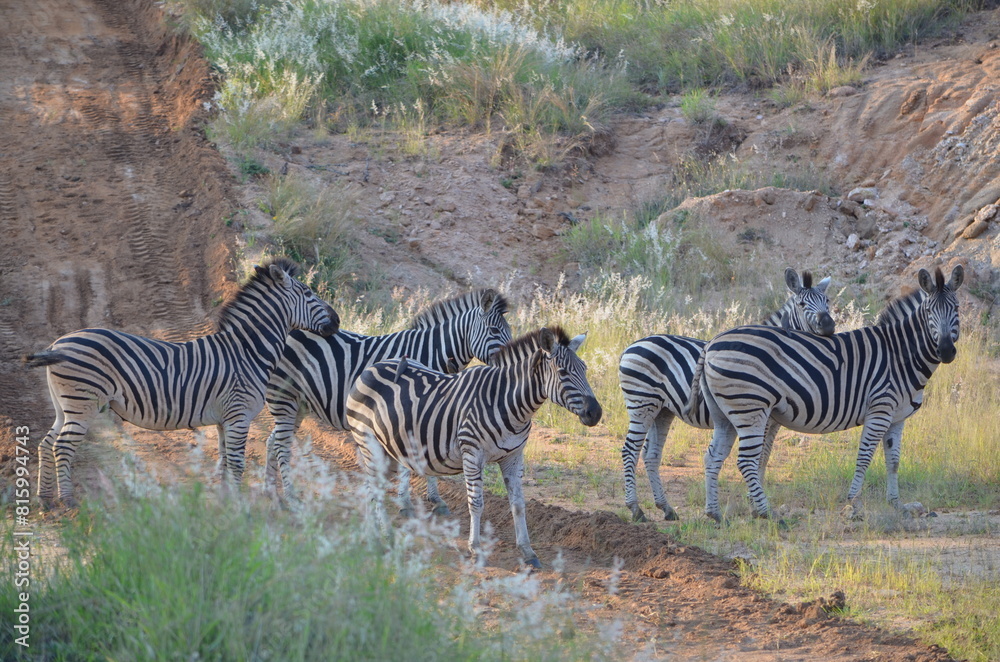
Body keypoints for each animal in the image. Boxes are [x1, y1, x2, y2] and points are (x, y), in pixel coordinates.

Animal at [24, 258, 339, 506]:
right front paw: (239, 508)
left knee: (46, 443)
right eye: (309, 293)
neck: (247, 351)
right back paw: (67, 500)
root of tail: (58, 343)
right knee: (62, 446)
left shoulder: (224, 419)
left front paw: (225, 503)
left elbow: (224, 462)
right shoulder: (239, 416)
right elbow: (237, 464)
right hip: (82, 403)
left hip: (64, 406)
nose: (337, 321)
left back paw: (45, 498)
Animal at [263, 288, 512, 505]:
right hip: (283, 395)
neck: (429, 354)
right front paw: (405, 501)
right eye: (494, 330)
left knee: (273, 440)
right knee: (281, 444)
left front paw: (434, 498)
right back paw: (289, 497)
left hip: (298, 403)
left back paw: (271, 492)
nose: (510, 363)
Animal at [346, 326, 602, 568]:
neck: (506, 402)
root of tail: (371, 368)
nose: (596, 413)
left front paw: (527, 552)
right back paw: (378, 539)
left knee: (372, 489)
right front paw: (476, 550)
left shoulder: (513, 456)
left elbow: (519, 505)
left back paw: (378, 536)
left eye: (585, 369)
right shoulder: (472, 453)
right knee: (373, 491)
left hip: (388, 449)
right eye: (563, 372)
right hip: (369, 444)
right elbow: (476, 503)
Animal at [618, 268, 835, 521]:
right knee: (630, 450)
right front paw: (755, 504)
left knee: (650, 454)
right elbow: (757, 458)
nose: (829, 326)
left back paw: (666, 508)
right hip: (641, 403)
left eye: (827, 302)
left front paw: (755, 501)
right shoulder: (760, 415)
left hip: (661, 410)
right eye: (801, 304)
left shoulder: (772, 421)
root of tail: (632, 345)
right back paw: (636, 509)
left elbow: (764, 457)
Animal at [691, 266, 963, 522]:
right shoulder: (880, 410)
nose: (946, 351)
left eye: (957, 309)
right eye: (929, 312)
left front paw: (897, 505)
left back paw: (714, 513)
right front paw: (854, 503)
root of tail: (712, 342)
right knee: (746, 461)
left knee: (712, 457)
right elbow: (864, 456)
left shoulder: (898, 418)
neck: (899, 353)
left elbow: (893, 461)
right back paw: (767, 513)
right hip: (750, 408)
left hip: (725, 414)